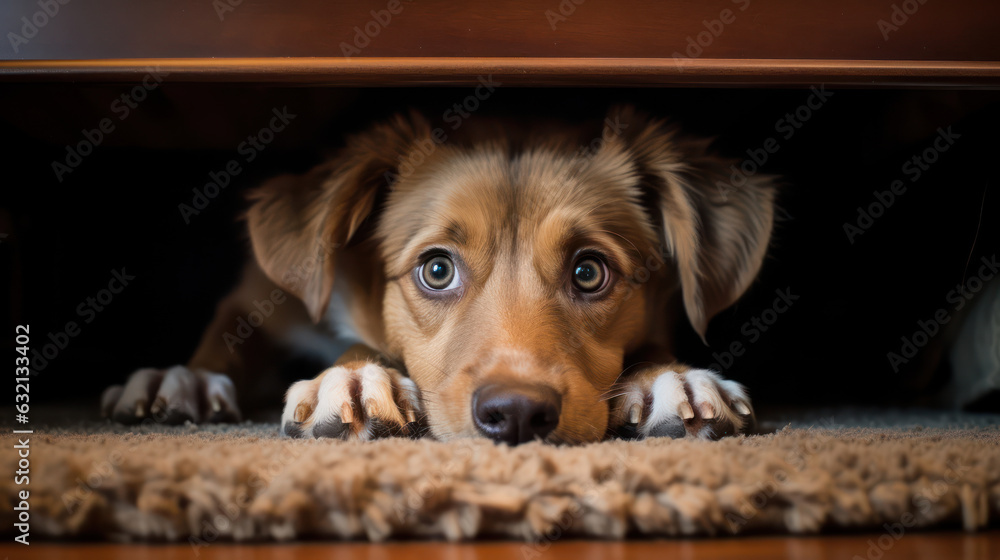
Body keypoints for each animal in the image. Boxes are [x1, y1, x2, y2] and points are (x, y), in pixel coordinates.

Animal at [99, 107, 772, 444]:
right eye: (438, 269)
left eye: (589, 272)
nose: (517, 415)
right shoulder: (263, 297)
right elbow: (230, 333)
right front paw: (352, 377)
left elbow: (655, 342)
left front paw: (671, 379)